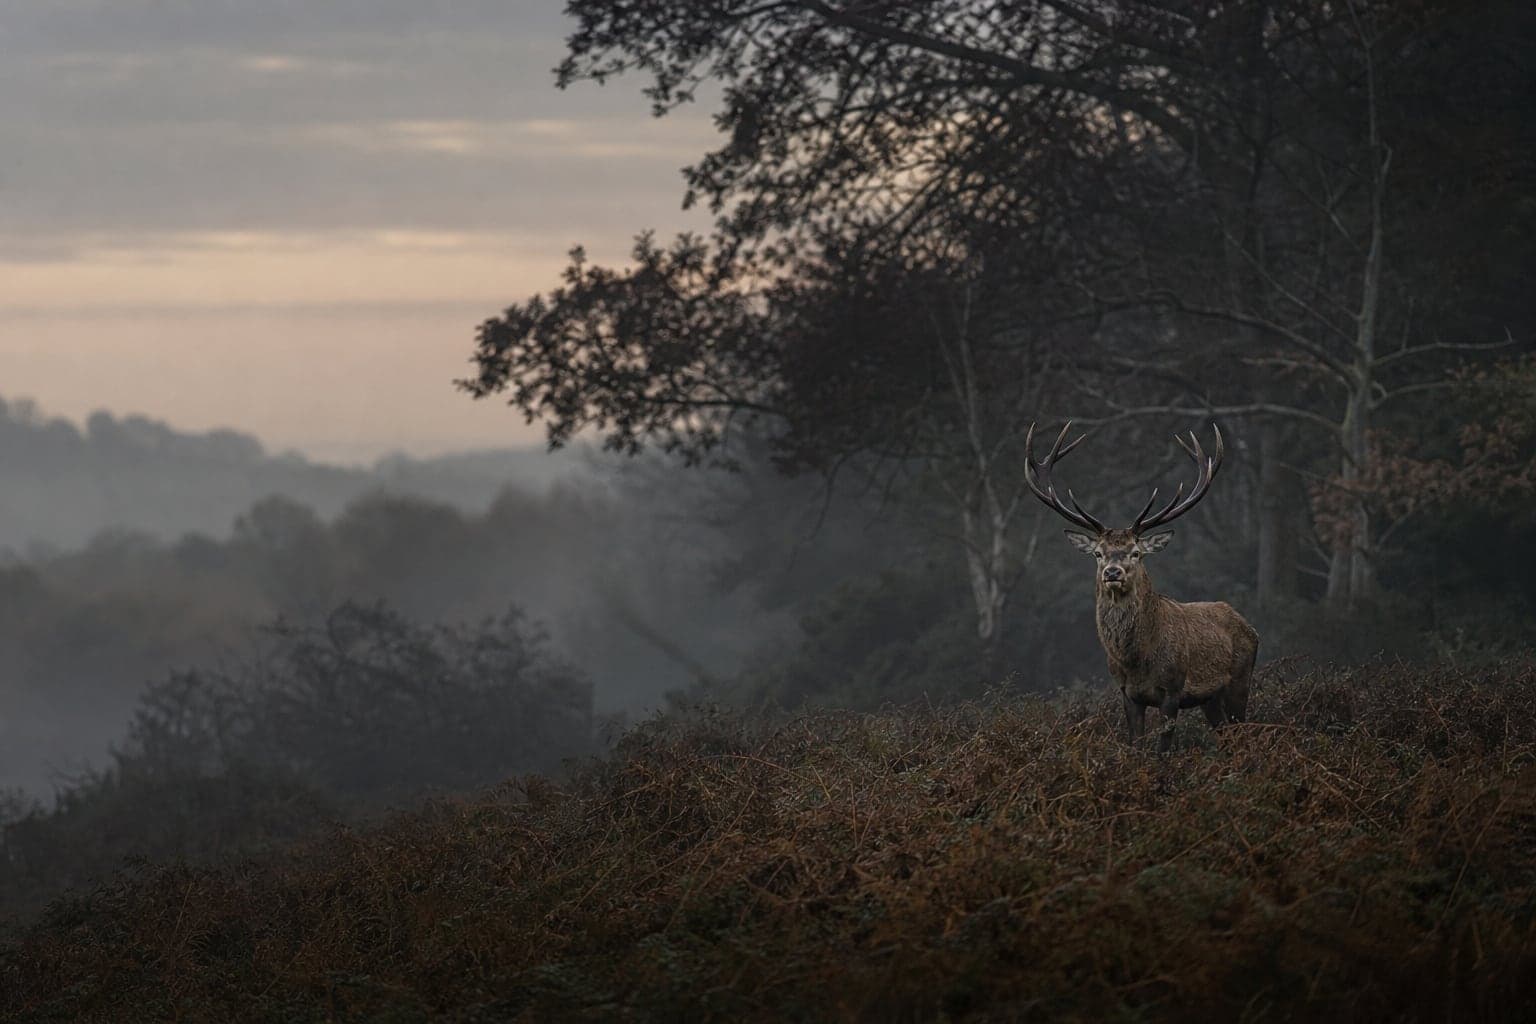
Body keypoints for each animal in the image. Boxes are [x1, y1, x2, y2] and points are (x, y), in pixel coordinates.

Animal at [1023, 422, 1259, 752]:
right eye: (1098, 553)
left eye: (1136, 552)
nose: (1112, 572)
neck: (1137, 660)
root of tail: (1248, 626)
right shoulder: (1127, 693)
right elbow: (1135, 745)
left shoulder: (1173, 689)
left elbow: (1163, 751)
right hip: (1210, 699)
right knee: (1227, 736)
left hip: (1240, 680)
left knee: (1244, 732)